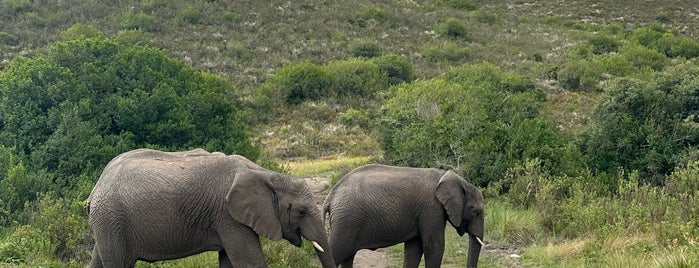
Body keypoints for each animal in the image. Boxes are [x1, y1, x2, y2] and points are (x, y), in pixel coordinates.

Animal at [88, 149, 336, 268]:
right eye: (301, 212)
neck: (266, 174)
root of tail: (97, 186)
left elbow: (228, 262)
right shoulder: (228, 216)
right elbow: (250, 262)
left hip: (108, 222)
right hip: (112, 218)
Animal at [324, 164, 484, 266]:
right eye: (476, 212)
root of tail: (331, 195)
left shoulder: (420, 212)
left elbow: (413, 250)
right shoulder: (431, 209)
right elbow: (434, 247)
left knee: (347, 257)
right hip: (347, 219)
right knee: (335, 251)